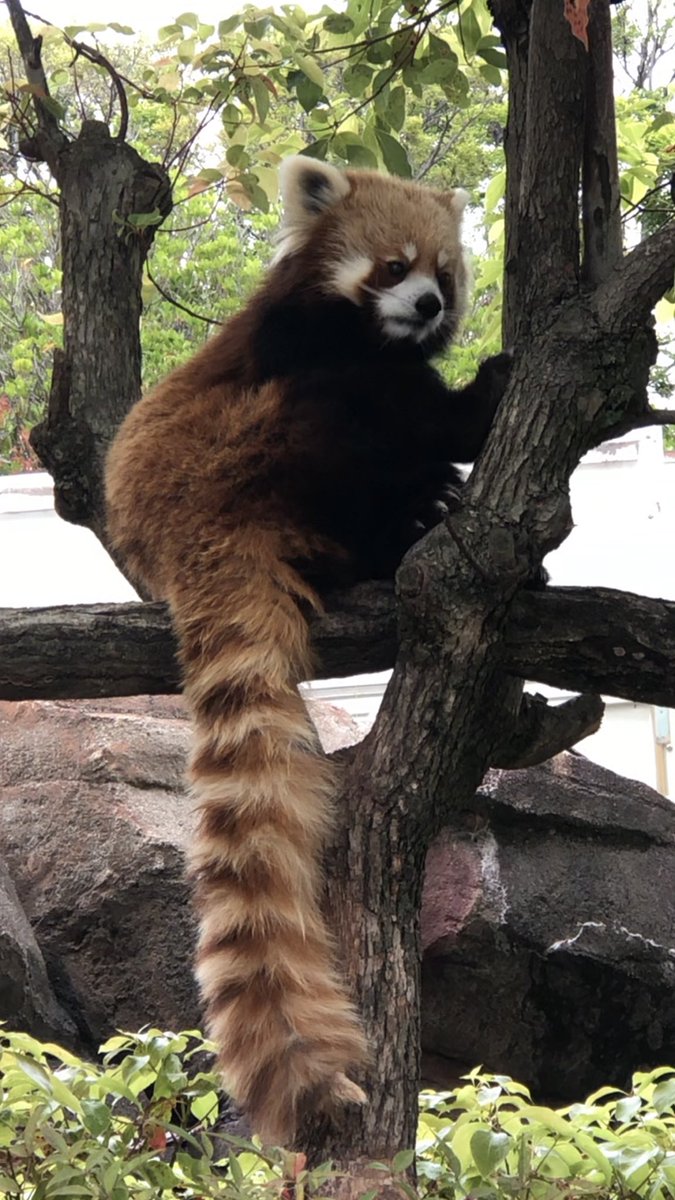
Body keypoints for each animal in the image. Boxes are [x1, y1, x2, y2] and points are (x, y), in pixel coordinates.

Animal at [102, 154, 506, 1147]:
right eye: (394, 266)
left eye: (444, 273)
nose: (428, 307)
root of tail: (190, 539)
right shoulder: (302, 341)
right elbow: (402, 402)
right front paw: (481, 395)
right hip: (249, 451)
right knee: (355, 432)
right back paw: (414, 507)